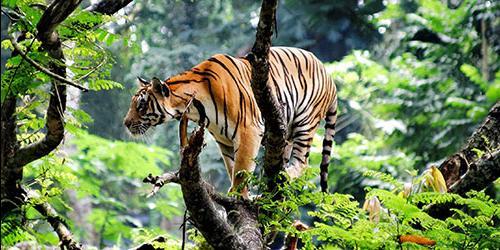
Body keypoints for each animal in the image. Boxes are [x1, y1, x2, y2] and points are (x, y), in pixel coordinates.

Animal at [123, 46, 338, 196]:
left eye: (141, 105)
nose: (125, 123)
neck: (193, 108)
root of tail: (329, 75)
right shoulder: (224, 139)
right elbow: (232, 166)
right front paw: (243, 194)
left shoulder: (248, 130)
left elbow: (241, 169)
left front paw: (238, 195)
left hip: (305, 122)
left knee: (303, 162)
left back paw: (284, 177)